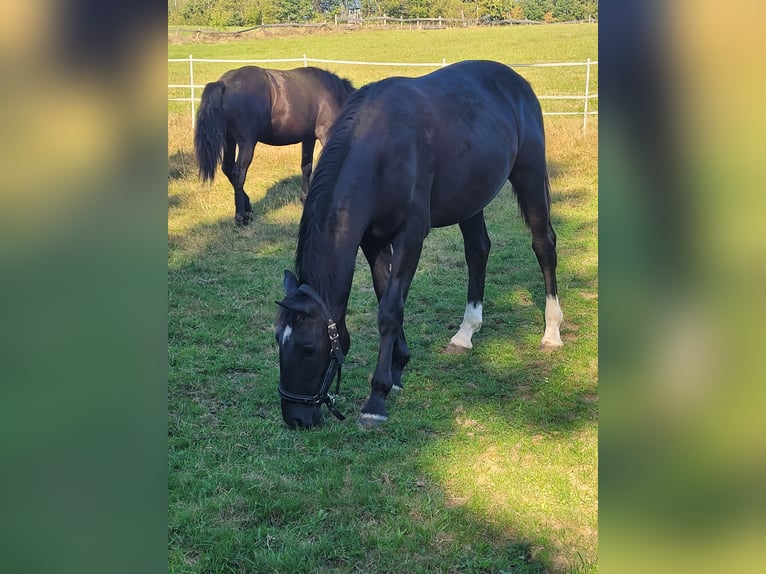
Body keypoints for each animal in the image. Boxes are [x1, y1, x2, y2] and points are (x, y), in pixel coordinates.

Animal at [195, 64, 356, 224]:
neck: (332, 92)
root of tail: (225, 83)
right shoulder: (326, 134)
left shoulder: (308, 138)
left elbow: (306, 167)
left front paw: (305, 199)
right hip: (246, 143)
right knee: (238, 173)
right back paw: (241, 217)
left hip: (230, 140)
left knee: (227, 168)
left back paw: (248, 207)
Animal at [276, 60, 564, 430]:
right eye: (277, 340)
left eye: (309, 348)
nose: (296, 418)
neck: (381, 149)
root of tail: (516, 81)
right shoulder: (372, 240)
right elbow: (385, 294)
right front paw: (398, 367)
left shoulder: (411, 236)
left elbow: (389, 310)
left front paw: (376, 399)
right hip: (470, 198)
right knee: (478, 252)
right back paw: (466, 332)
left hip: (529, 175)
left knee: (544, 246)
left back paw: (552, 331)